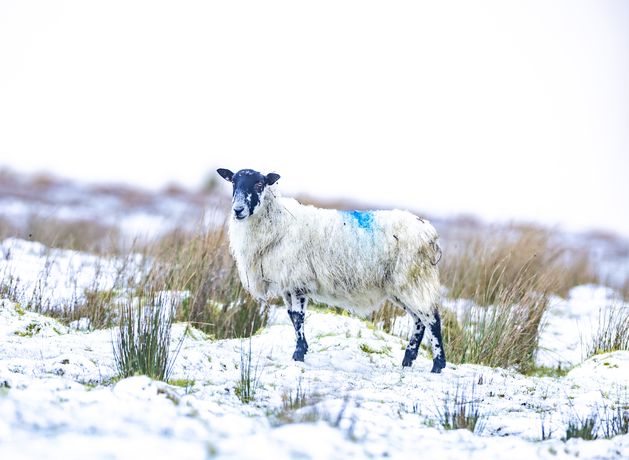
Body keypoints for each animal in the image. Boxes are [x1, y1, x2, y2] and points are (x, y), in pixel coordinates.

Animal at [216, 167, 446, 372]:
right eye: (233, 183)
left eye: (259, 184)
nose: (238, 210)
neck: (278, 221)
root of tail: (430, 233)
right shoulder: (286, 284)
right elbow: (291, 316)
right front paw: (302, 350)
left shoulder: (297, 280)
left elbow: (298, 317)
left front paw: (298, 354)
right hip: (402, 286)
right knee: (419, 320)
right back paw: (408, 359)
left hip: (414, 279)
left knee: (432, 319)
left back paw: (438, 365)